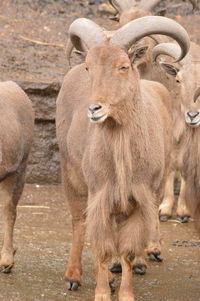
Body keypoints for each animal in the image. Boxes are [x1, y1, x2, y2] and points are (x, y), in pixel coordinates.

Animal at [55, 15, 189, 298]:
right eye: (89, 67)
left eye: (123, 66)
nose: (94, 109)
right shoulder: (100, 193)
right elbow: (102, 247)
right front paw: (102, 293)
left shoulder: (141, 195)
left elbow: (127, 248)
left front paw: (126, 291)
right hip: (71, 174)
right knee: (79, 223)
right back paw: (74, 276)